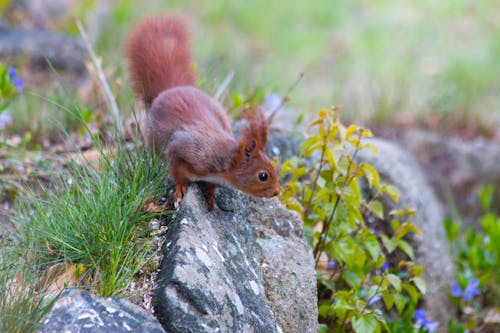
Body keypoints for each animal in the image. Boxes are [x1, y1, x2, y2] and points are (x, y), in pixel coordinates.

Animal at [124, 15, 280, 210]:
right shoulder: (184, 151)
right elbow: (177, 173)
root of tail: (174, 88)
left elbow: (211, 186)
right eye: (263, 175)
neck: (221, 161)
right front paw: (179, 191)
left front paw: (211, 194)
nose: (277, 191)